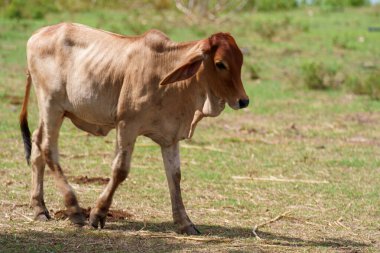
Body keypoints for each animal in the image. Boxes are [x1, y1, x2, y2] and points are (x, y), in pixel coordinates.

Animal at [20, 22, 249, 234]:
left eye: (240, 61)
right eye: (220, 64)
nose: (244, 101)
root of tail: (38, 34)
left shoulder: (170, 138)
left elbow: (175, 177)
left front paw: (185, 223)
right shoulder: (126, 125)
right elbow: (120, 170)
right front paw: (98, 214)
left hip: (52, 112)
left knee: (37, 144)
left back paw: (39, 208)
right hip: (51, 105)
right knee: (48, 149)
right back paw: (74, 210)